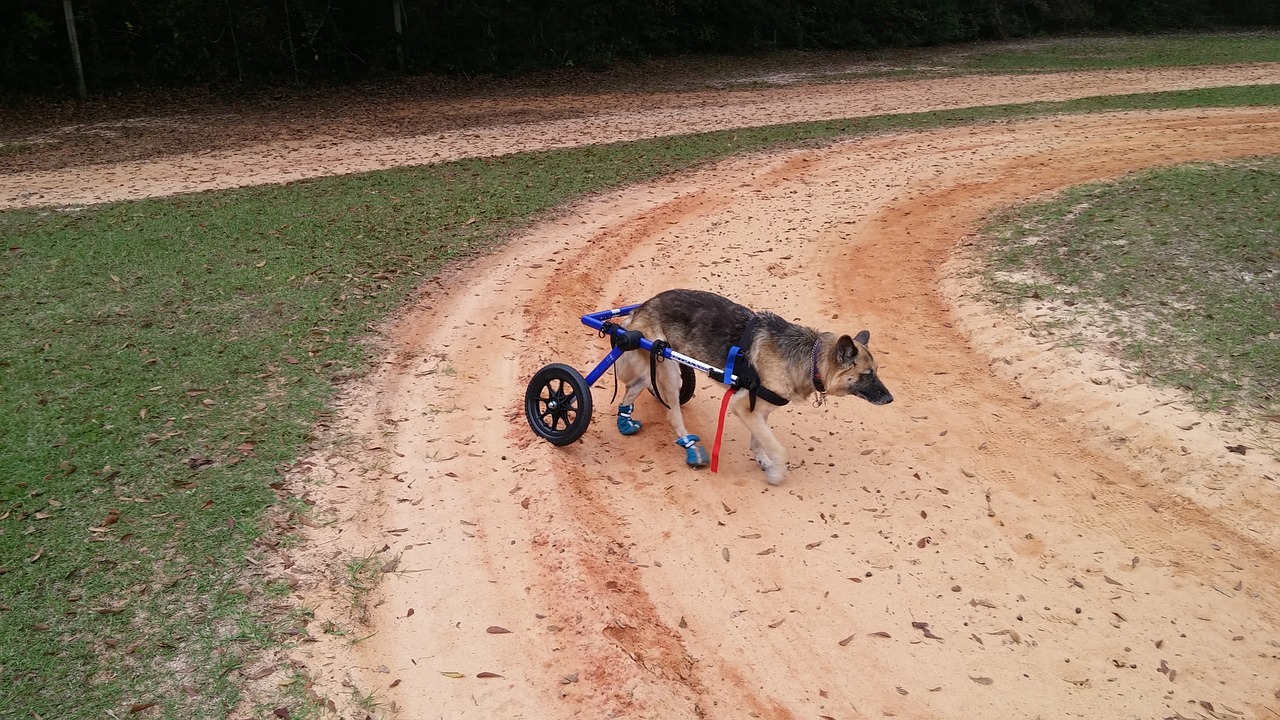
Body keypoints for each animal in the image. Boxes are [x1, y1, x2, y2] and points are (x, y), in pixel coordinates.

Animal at [614, 285, 896, 481]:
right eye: (867, 374)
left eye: (877, 371)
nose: (890, 399)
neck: (810, 357)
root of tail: (639, 309)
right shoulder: (742, 407)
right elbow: (778, 448)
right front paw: (777, 473)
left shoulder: (759, 409)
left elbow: (759, 441)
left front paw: (763, 461)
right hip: (668, 365)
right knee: (672, 414)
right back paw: (691, 448)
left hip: (657, 365)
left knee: (634, 385)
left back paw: (625, 420)